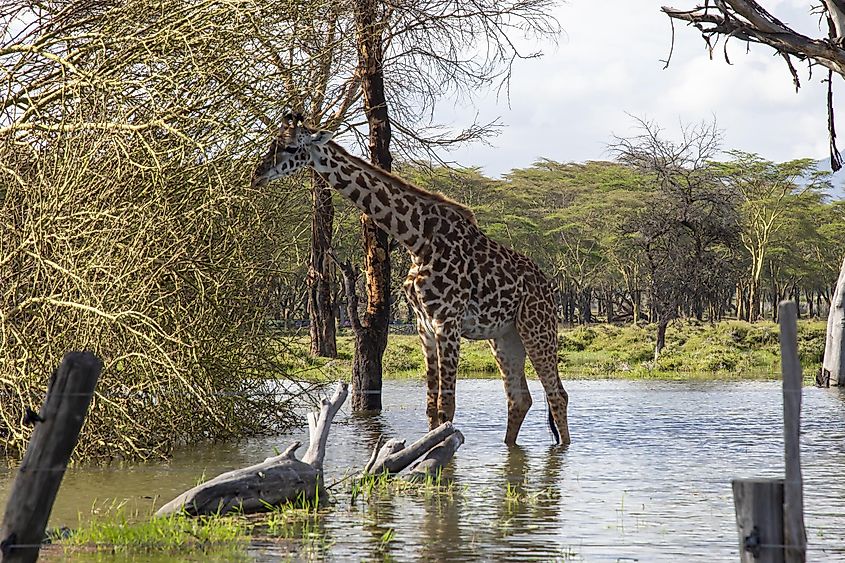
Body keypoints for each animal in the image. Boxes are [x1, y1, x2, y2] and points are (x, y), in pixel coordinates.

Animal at [249, 117, 568, 448]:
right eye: (272, 142)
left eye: (290, 147)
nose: (256, 174)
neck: (417, 240)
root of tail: (549, 287)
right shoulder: (423, 325)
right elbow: (430, 405)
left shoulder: (447, 322)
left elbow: (446, 405)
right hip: (505, 336)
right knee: (519, 398)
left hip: (537, 328)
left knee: (557, 394)